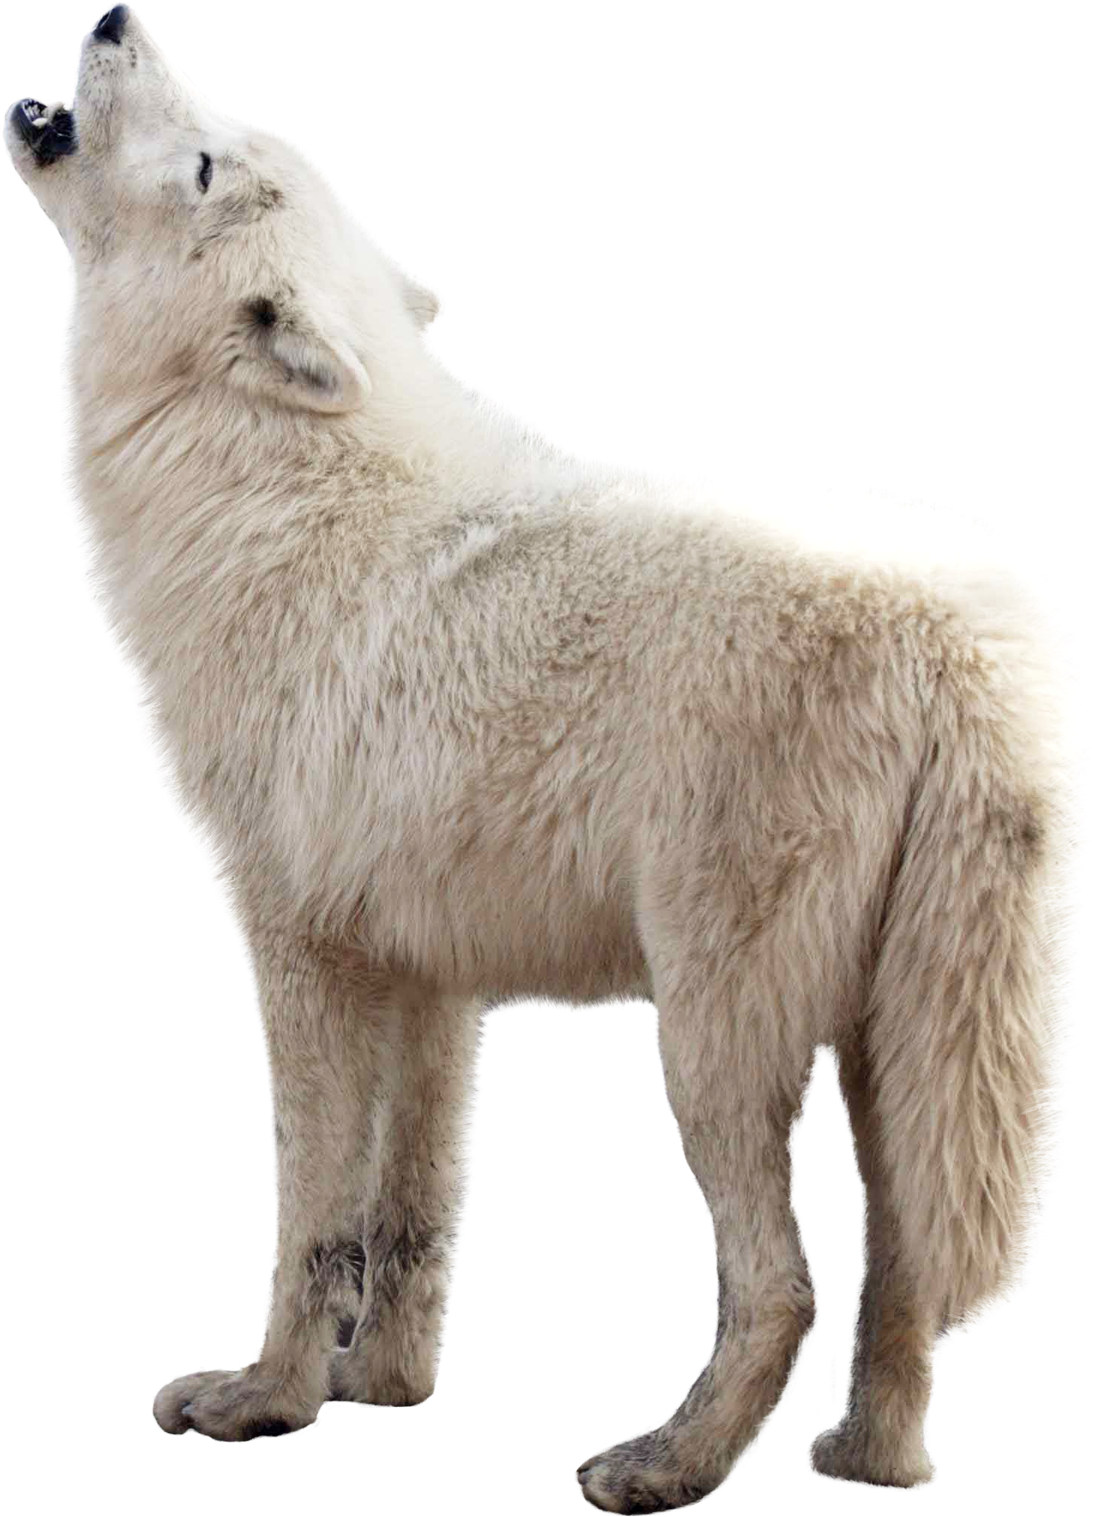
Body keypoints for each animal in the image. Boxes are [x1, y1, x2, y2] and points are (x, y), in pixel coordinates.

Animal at [5, 5, 1090, 1507]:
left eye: (213, 156)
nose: (115, 17)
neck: (268, 496)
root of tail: (975, 631)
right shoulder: (428, 984)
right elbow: (412, 1221)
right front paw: (387, 1391)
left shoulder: (297, 956)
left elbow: (309, 1223)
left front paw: (262, 1401)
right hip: (888, 1044)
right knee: (906, 1264)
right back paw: (866, 1463)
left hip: (710, 1035)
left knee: (783, 1286)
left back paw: (663, 1467)